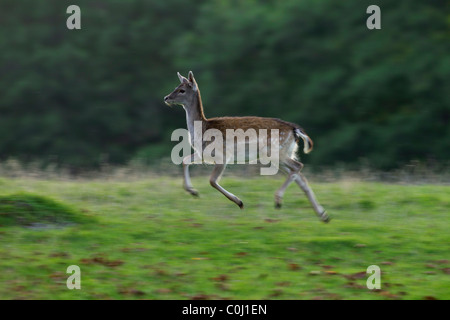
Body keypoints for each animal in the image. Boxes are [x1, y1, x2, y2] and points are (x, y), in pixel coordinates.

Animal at [163, 71, 328, 222]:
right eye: (176, 87)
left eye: (182, 90)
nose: (166, 98)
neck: (202, 129)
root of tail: (295, 129)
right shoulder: (203, 154)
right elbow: (185, 160)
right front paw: (192, 191)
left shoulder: (223, 155)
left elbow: (212, 181)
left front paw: (239, 202)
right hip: (284, 153)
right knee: (300, 176)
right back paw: (323, 215)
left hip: (275, 152)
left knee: (298, 166)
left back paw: (278, 200)